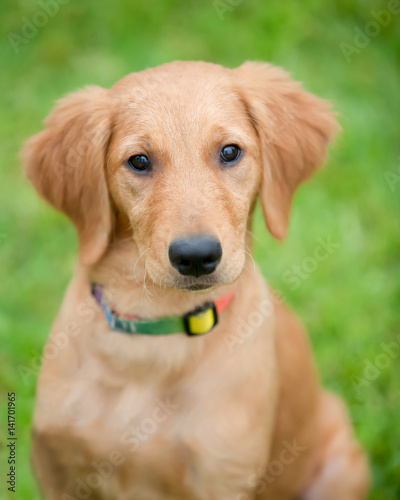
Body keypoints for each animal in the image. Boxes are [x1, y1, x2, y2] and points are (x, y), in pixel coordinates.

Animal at [23, 60, 370, 498]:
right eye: (139, 161)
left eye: (230, 152)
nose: (196, 256)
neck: (156, 328)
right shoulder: (57, 470)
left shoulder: (223, 475)